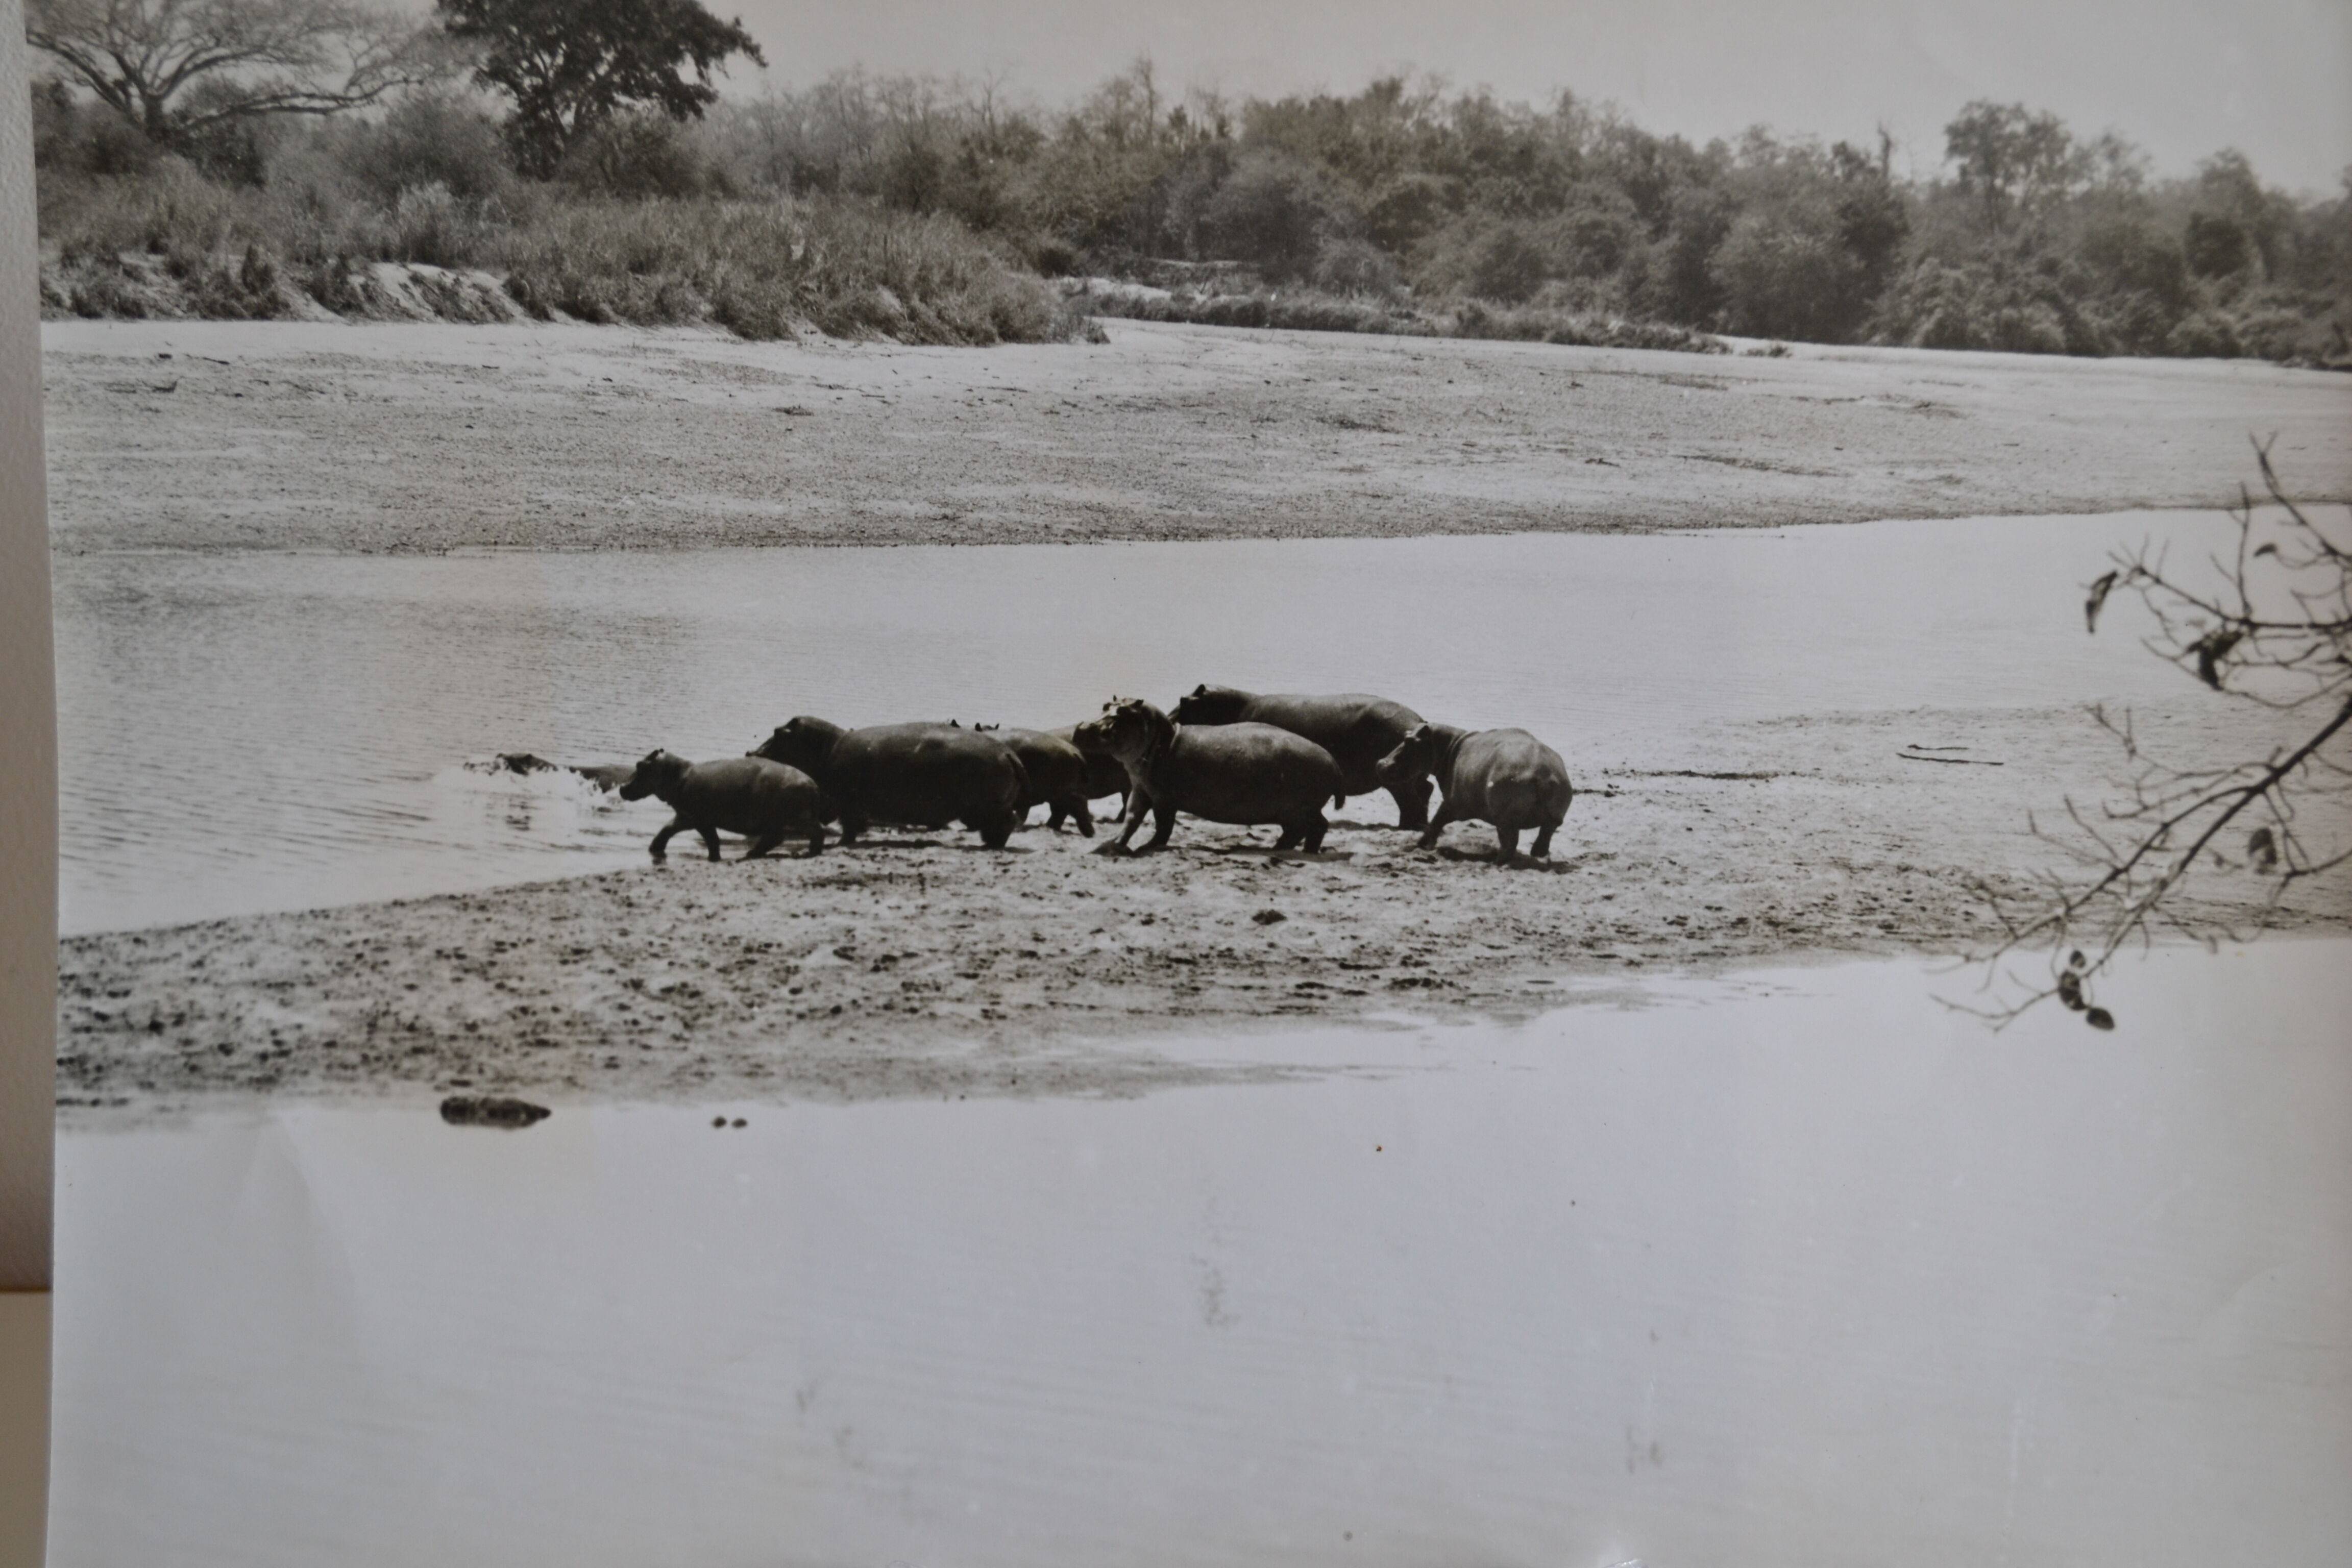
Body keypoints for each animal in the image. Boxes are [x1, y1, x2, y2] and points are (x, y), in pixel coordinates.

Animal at [617, 750, 826, 860]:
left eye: (640, 766)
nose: (622, 787)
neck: (675, 773)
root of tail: (813, 784)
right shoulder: (684, 816)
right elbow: (666, 830)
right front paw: (654, 849)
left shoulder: (700, 820)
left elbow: (712, 840)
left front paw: (714, 858)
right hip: (780, 819)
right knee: (776, 838)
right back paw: (752, 854)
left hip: (792, 818)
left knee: (811, 833)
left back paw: (807, 853)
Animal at [753, 717, 1026, 849]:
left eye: (778, 733)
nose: (751, 752)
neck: (827, 747)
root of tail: (1008, 754)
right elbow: (857, 824)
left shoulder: (846, 802)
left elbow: (850, 825)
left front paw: (843, 843)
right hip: (987, 808)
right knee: (1003, 823)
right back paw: (990, 844)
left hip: (988, 807)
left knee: (1007, 822)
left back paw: (992, 846)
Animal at [1073, 697, 1343, 854]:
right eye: (1106, 706)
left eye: (1123, 714)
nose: (1083, 727)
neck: (1161, 739)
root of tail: (1333, 762)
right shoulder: (1141, 789)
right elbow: (1131, 819)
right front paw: (1112, 845)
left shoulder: (1163, 799)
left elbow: (1163, 827)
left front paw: (1147, 847)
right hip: (1292, 811)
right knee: (1307, 829)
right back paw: (1287, 849)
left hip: (1299, 809)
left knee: (1312, 828)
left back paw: (1287, 850)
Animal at [1169, 685, 1433, 829]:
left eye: (1183, 699)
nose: (1169, 718)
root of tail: (1420, 721)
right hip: (1414, 776)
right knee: (1425, 791)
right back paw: (1418, 825)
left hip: (1397, 778)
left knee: (1410, 799)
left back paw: (1406, 827)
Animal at [1374, 723, 1573, 862]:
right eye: (1406, 735)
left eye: (1409, 740)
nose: (1381, 763)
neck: (1447, 746)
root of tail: (1544, 774)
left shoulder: (1451, 803)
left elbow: (1436, 821)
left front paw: (1421, 845)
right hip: (1552, 819)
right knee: (1544, 836)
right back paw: (1538, 856)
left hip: (1505, 820)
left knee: (1510, 843)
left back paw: (1497, 861)